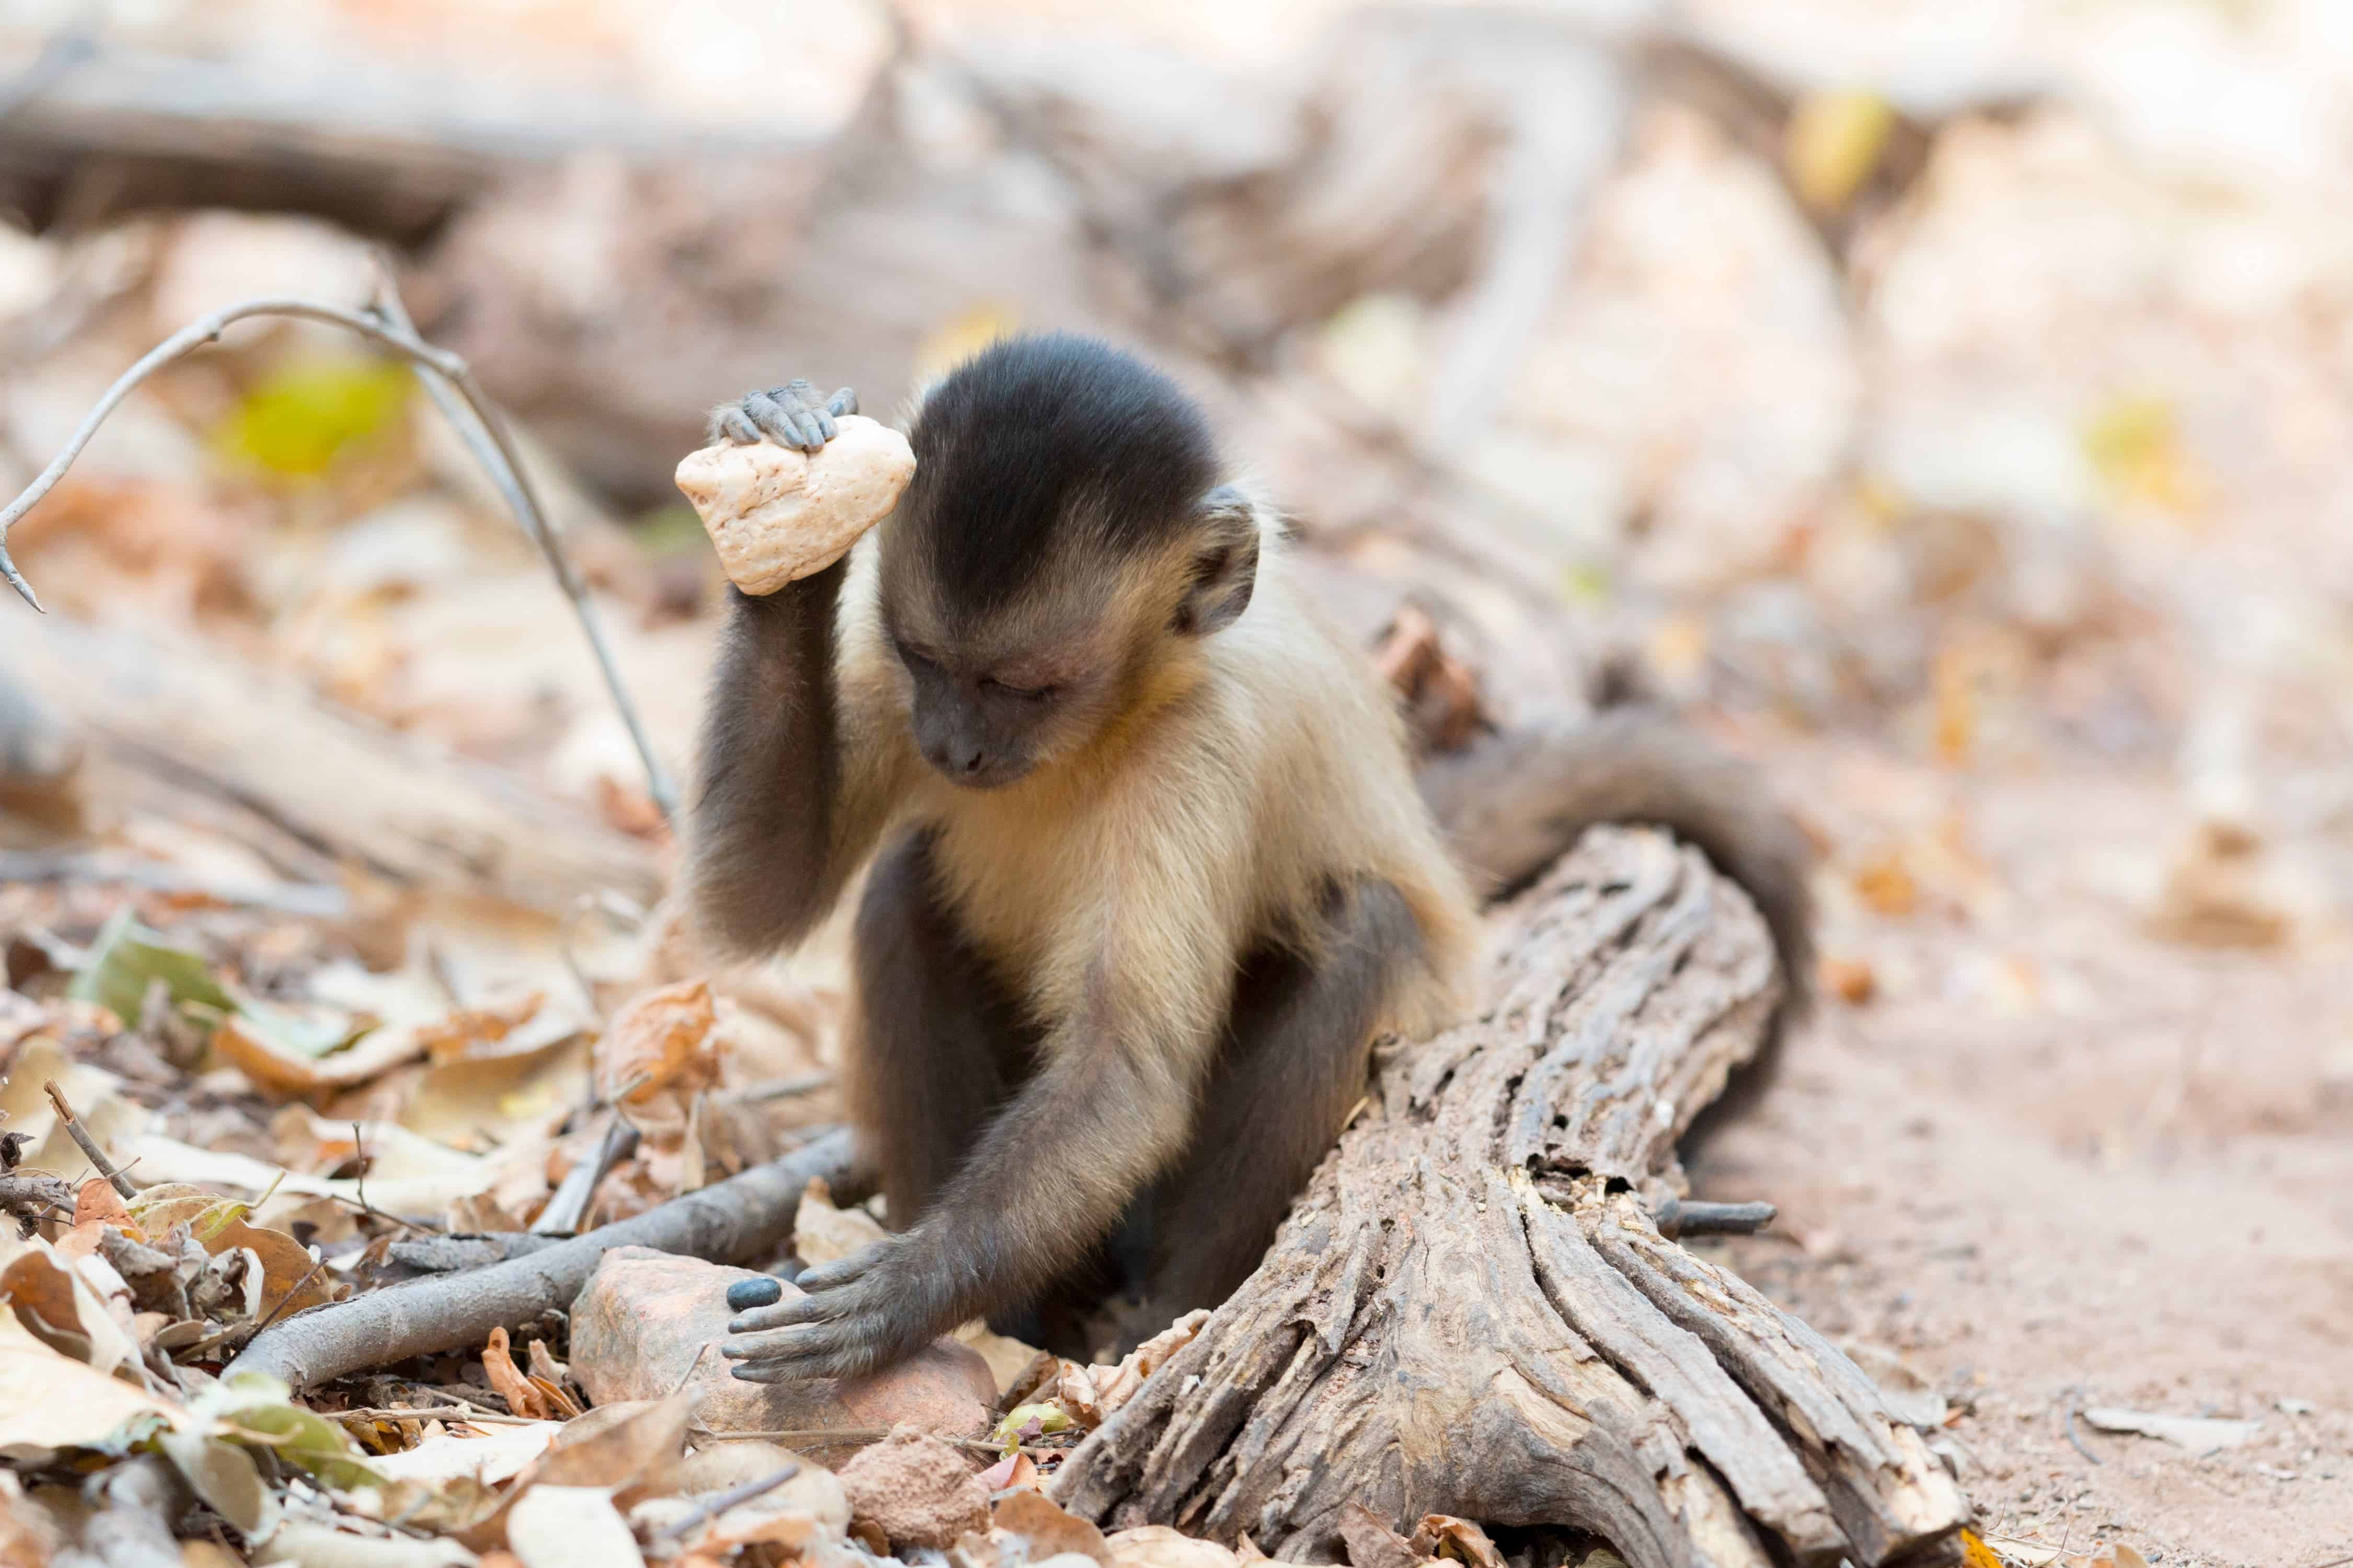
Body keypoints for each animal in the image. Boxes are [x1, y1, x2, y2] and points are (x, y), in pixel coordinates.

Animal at [687, 335, 1812, 1383]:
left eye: (1028, 688)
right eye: (929, 662)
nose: (953, 748)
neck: (1116, 717)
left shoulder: (1202, 746)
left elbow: (1126, 1076)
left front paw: (903, 1294)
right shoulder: (891, 684)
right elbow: (758, 900)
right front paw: (786, 504)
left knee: (1364, 925)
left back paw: (1160, 1317)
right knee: (903, 890)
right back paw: (1017, 1322)